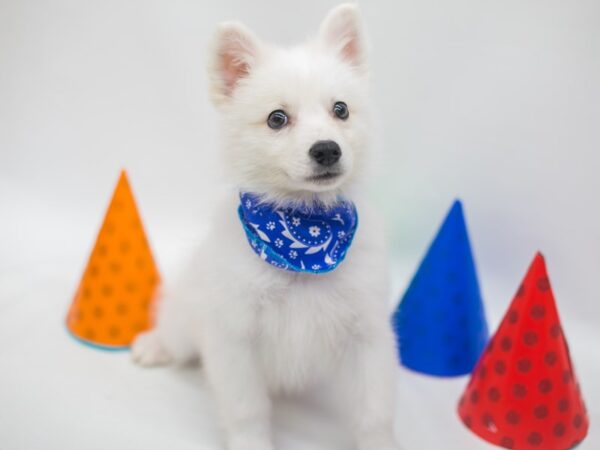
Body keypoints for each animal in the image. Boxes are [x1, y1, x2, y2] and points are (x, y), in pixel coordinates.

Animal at [134, 4, 400, 450]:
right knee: (173, 332)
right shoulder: (234, 337)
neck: (303, 229)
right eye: (277, 119)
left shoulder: (366, 335)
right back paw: (153, 345)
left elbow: (374, 414)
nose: (327, 150)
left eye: (341, 110)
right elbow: (247, 412)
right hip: (187, 319)